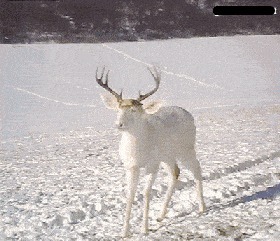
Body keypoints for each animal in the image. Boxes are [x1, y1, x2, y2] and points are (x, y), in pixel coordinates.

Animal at [96, 66, 206, 237]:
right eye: (118, 108)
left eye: (134, 110)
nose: (119, 124)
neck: (137, 152)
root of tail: (187, 113)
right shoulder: (131, 166)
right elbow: (130, 194)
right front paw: (124, 231)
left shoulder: (152, 165)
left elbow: (146, 193)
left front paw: (144, 229)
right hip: (167, 156)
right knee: (175, 172)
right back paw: (161, 215)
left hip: (186, 148)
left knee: (196, 167)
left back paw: (202, 207)